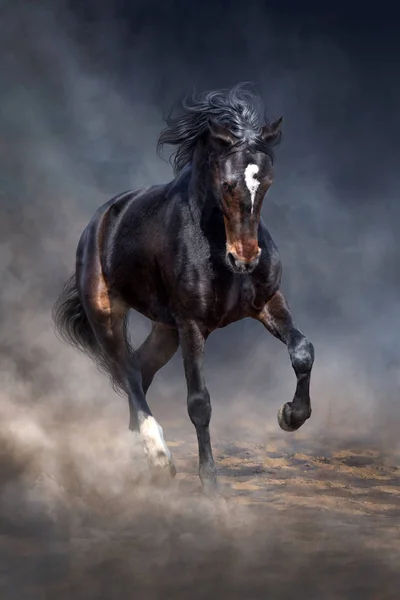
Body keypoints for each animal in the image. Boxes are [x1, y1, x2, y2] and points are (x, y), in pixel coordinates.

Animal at [53, 85, 314, 496]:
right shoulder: (191, 324)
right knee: (127, 373)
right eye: (227, 184)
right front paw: (210, 485)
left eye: (268, 183)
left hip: (165, 331)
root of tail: (100, 220)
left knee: (139, 370)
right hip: (107, 316)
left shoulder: (268, 302)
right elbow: (199, 403)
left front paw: (290, 415)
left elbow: (302, 351)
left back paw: (137, 455)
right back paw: (159, 457)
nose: (245, 258)